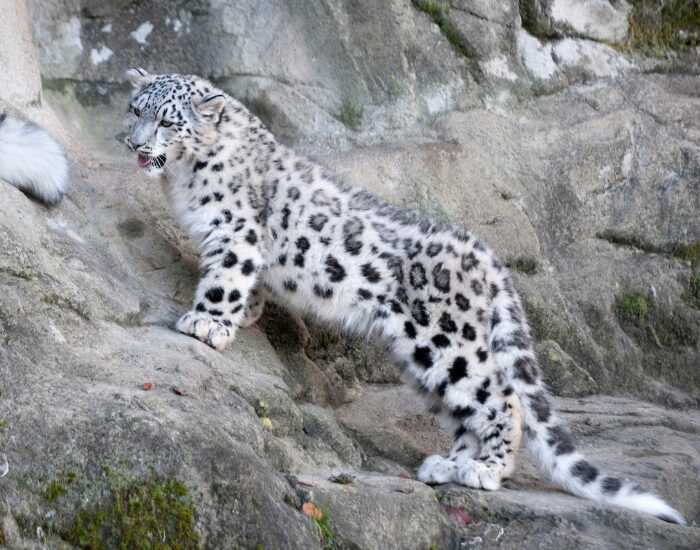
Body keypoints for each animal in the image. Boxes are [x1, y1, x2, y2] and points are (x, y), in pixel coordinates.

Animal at [123, 68, 685, 525]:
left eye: (167, 122)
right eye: (134, 109)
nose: (132, 144)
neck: (182, 176)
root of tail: (488, 258)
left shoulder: (235, 231)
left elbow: (227, 275)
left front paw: (207, 321)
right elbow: (251, 282)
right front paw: (245, 315)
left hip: (449, 342)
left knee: (503, 399)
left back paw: (483, 470)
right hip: (429, 360)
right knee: (467, 411)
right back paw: (449, 464)